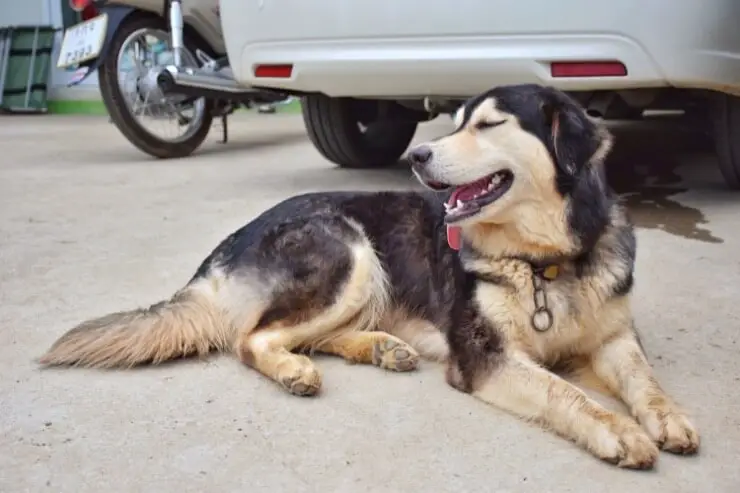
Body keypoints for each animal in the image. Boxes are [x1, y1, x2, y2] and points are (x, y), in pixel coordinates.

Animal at [39, 82, 700, 468]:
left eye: (489, 125)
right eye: (457, 121)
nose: (417, 155)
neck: (546, 258)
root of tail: (227, 244)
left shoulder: (614, 338)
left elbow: (645, 380)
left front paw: (668, 417)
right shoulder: (484, 355)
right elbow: (566, 392)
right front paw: (619, 431)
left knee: (312, 333)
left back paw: (382, 348)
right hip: (349, 251)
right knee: (252, 339)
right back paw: (296, 370)